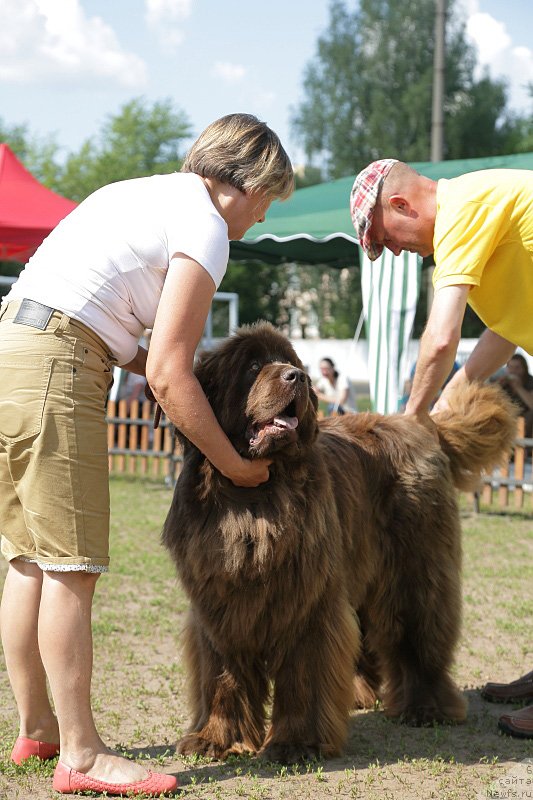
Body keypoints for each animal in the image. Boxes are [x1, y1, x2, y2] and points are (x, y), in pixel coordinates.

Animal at [163, 320, 516, 764]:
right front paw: (216, 738)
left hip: (413, 570)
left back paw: (426, 708)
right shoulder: (218, 605)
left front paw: (297, 743)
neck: (253, 499)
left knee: (419, 635)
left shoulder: (308, 601)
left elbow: (304, 671)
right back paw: (359, 695)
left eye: (290, 362)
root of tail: (419, 427)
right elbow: (222, 675)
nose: (298, 377)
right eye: (253, 366)